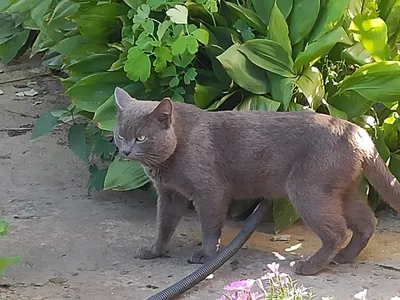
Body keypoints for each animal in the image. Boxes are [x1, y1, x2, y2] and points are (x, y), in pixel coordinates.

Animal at [113, 86, 400, 274]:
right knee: (366, 222)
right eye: (120, 135)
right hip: (342, 189)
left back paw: (309, 266)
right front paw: (153, 251)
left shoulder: (210, 191)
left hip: (308, 189)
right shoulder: (170, 193)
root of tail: (360, 133)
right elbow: (164, 225)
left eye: (141, 137)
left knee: (337, 231)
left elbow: (210, 226)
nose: (125, 151)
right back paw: (344, 258)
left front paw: (206, 256)